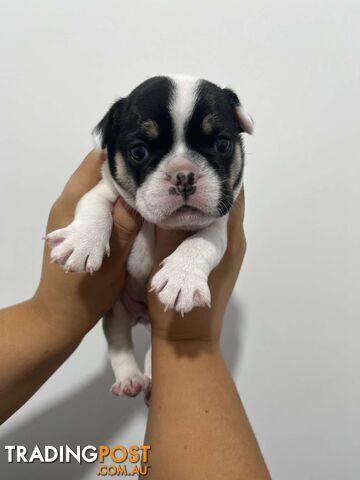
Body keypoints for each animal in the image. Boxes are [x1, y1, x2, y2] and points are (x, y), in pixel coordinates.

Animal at [45, 74, 253, 398]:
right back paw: (130, 379)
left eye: (222, 143)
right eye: (138, 151)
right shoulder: (105, 189)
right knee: (119, 343)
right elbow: (93, 207)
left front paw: (181, 278)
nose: (184, 175)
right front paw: (82, 243)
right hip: (117, 312)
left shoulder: (221, 221)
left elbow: (201, 244)